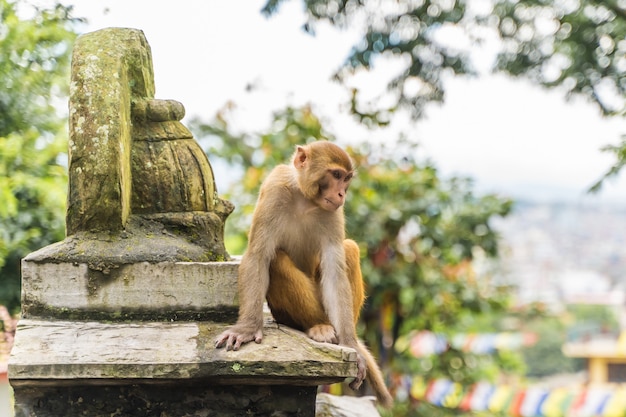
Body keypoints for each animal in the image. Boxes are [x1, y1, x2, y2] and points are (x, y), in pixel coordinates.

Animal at [214, 140, 390, 406]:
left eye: (346, 179)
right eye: (335, 175)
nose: (342, 194)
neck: (305, 199)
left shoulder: (334, 212)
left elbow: (334, 269)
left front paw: (351, 346)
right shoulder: (274, 189)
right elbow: (258, 255)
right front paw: (246, 329)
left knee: (349, 249)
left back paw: (336, 334)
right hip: (284, 314)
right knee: (276, 259)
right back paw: (318, 327)